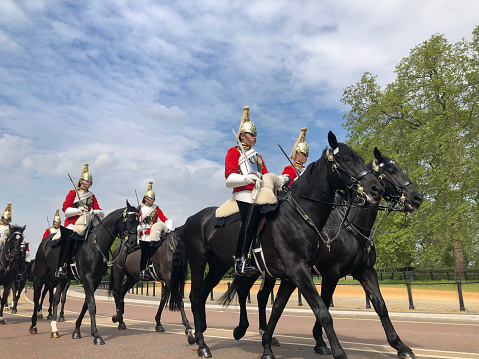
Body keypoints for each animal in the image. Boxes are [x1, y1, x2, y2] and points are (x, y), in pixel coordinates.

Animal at [29, 201, 139, 344]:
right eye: (129, 220)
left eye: (138, 221)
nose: (133, 242)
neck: (95, 245)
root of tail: (45, 241)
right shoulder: (87, 278)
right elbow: (92, 305)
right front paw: (96, 335)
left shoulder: (96, 280)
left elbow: (86, 304)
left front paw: (77, 330)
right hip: (40, 276)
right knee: (37, 297)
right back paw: (33, 325)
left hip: (61, 279)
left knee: (55, 299)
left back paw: (54, 329)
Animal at [168, 132, 382, 359]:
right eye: (347, 159)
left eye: (361, 159)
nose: (376, 188)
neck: (300, 214)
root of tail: (190, 218)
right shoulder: (303, 272)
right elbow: (323, 312)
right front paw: (338, 351)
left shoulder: (292, 275)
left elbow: (278, 308)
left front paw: (267, 345)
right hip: (198, 262)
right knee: (195, 295)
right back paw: (202, 343)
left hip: (219, 265)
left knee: (204, 293)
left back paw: (204, 332)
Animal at [221, 148, 424, 358]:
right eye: (391, 170)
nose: (417, 198)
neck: (350, 226)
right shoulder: (330, 273)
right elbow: (324, 305)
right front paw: (321, 341)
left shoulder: (364, 270)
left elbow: (380, 306)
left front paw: (400, 346)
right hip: (256, 271)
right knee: (244, 292)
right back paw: (241, 330)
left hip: (270, 273)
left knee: (261, 297)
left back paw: (264, 334)